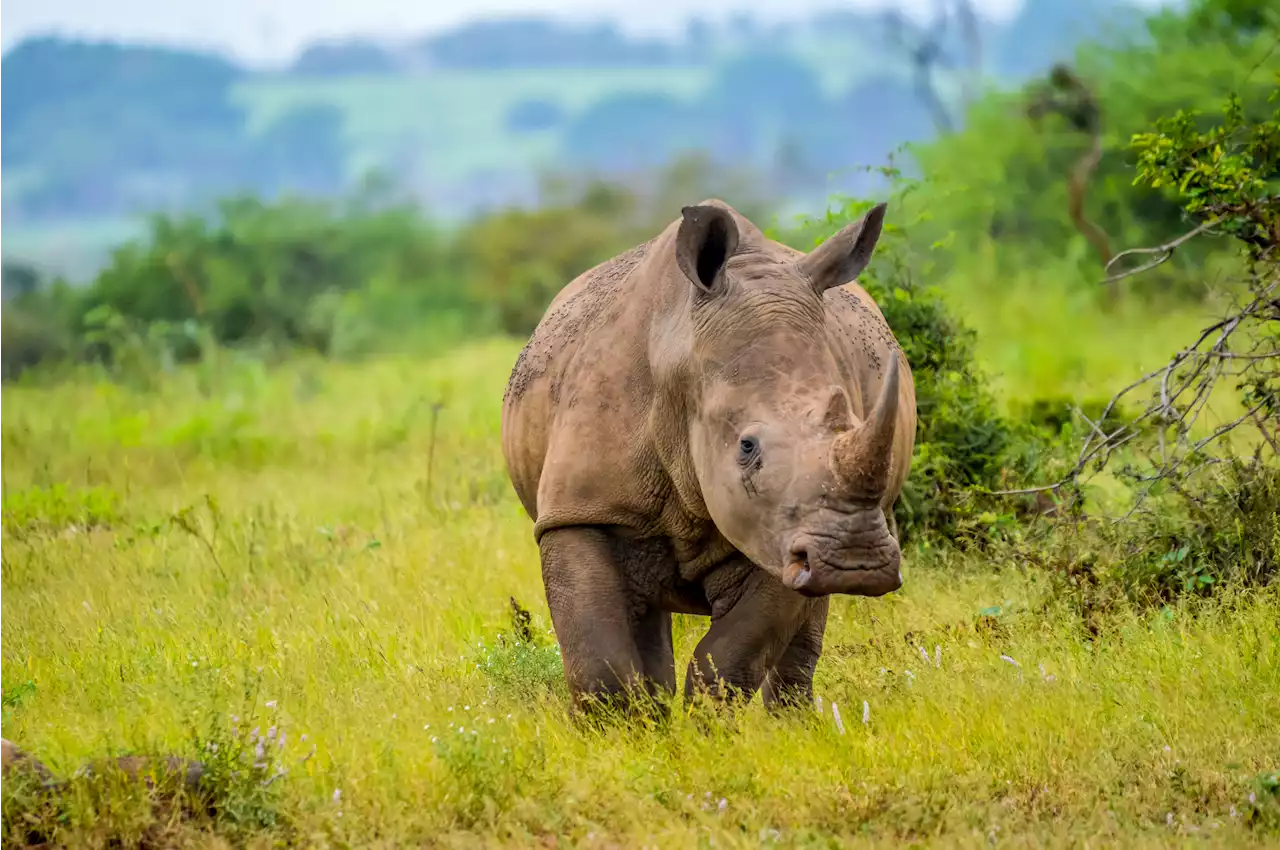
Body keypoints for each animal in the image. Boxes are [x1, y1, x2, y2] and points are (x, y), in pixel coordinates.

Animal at [496, 197, 911, 711]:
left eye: (851, 423)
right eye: (746, 448)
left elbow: (729, 658)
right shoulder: (580, 509)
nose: (857, 562)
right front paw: (621, 729)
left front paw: (707, 724)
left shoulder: (779, 530)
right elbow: (599, 663)